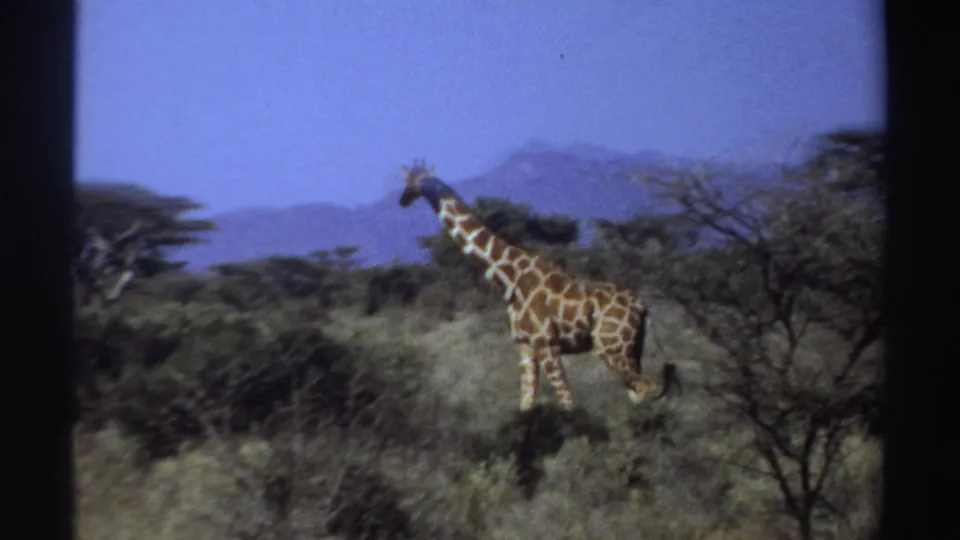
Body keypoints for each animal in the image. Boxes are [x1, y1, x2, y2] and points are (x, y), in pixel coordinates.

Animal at [398, 159, 671, 411]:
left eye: (412, 182)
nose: (402, 200)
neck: (509, 277)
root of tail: (643, 308)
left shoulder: (546, 345)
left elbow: (568, 402)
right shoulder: (525, 346)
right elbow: (526, 404)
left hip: (612, 347)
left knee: (646, 387)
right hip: (632, 347)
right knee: (641, 390)